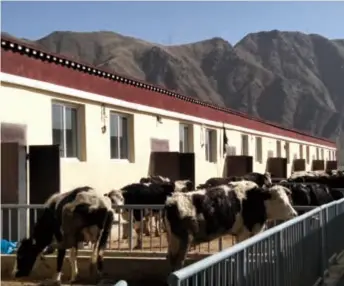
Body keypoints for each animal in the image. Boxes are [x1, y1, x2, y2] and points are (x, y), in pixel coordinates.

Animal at [163, 181, 296, 270]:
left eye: (288, 199)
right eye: (280, 200)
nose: (294, 214)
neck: (253, 199)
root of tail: (171, 202)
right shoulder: (244, 232)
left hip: (173, 240)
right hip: (183, 240)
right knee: (178, 263)